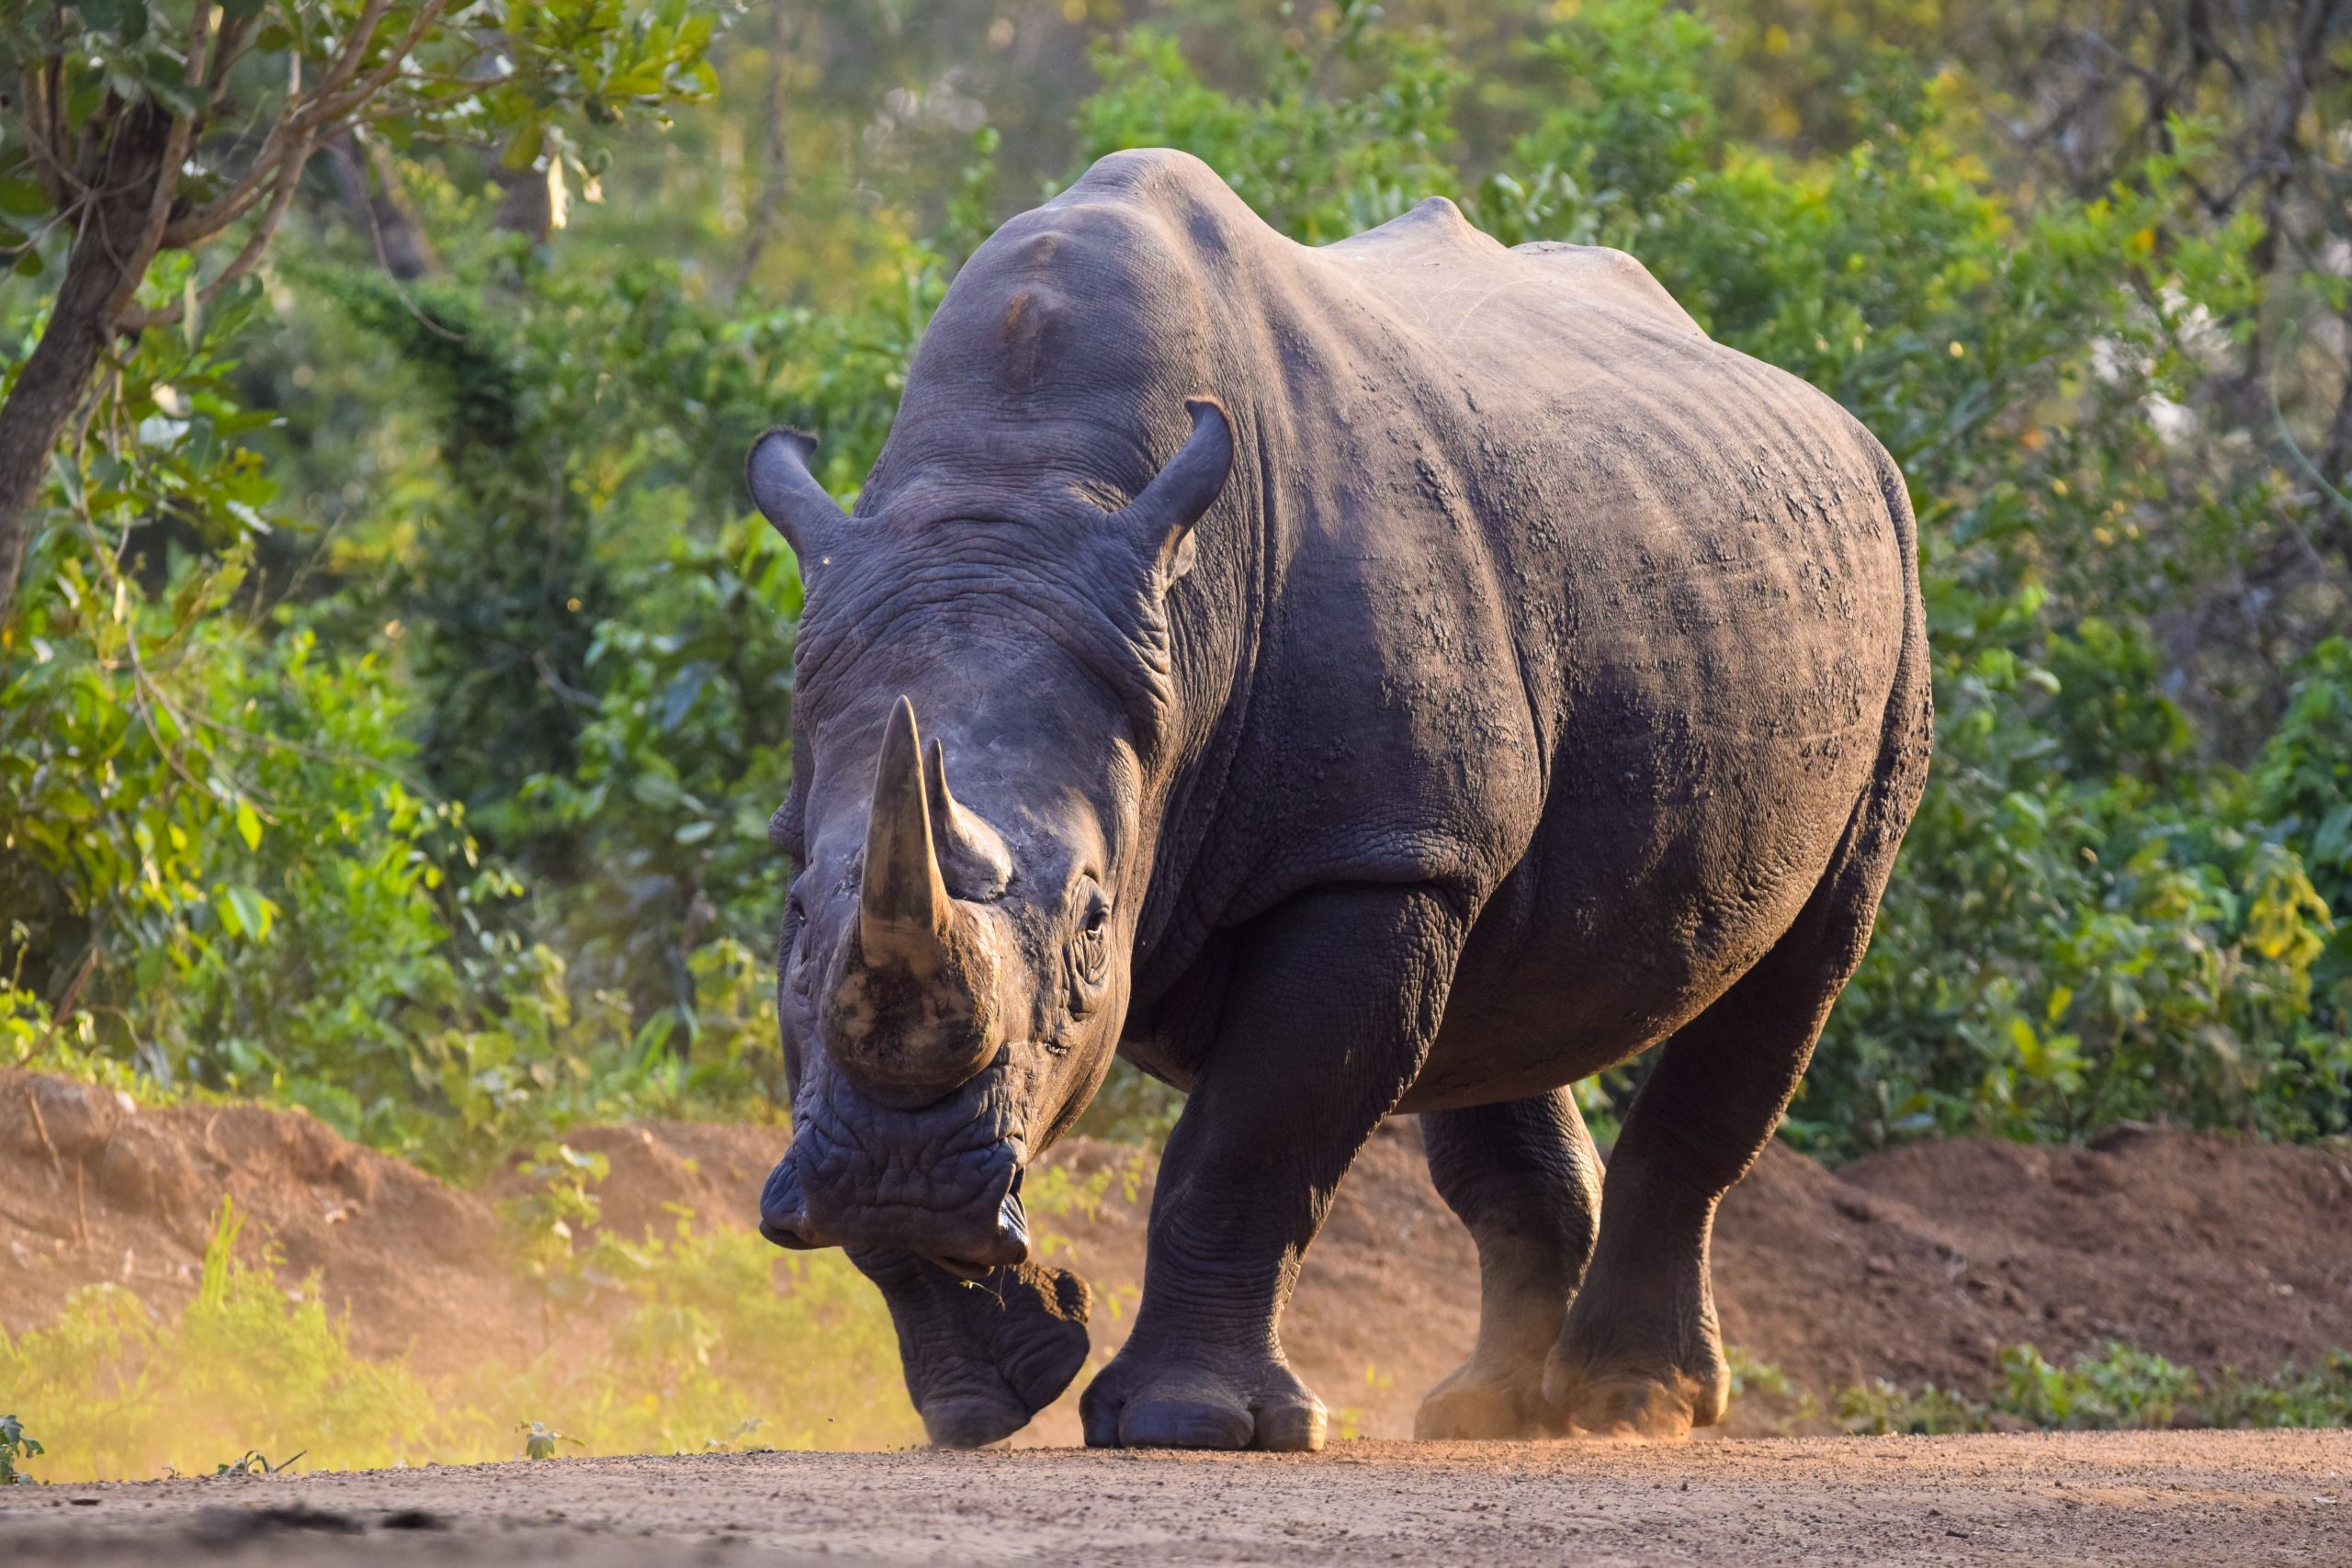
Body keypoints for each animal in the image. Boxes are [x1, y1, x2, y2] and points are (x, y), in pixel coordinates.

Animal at [748, 148, 1930, 1451]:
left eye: (1097, 930)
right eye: (793, 920)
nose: (893, 1176)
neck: (1014, 502)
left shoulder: (1369, 850)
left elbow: (1253, 1139)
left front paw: (1188, 1425)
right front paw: (988, 1390)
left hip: (1889, 588)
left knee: (1803, 955)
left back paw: (1629, 1407)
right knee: (1502, 1004)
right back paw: (1490, 1413)